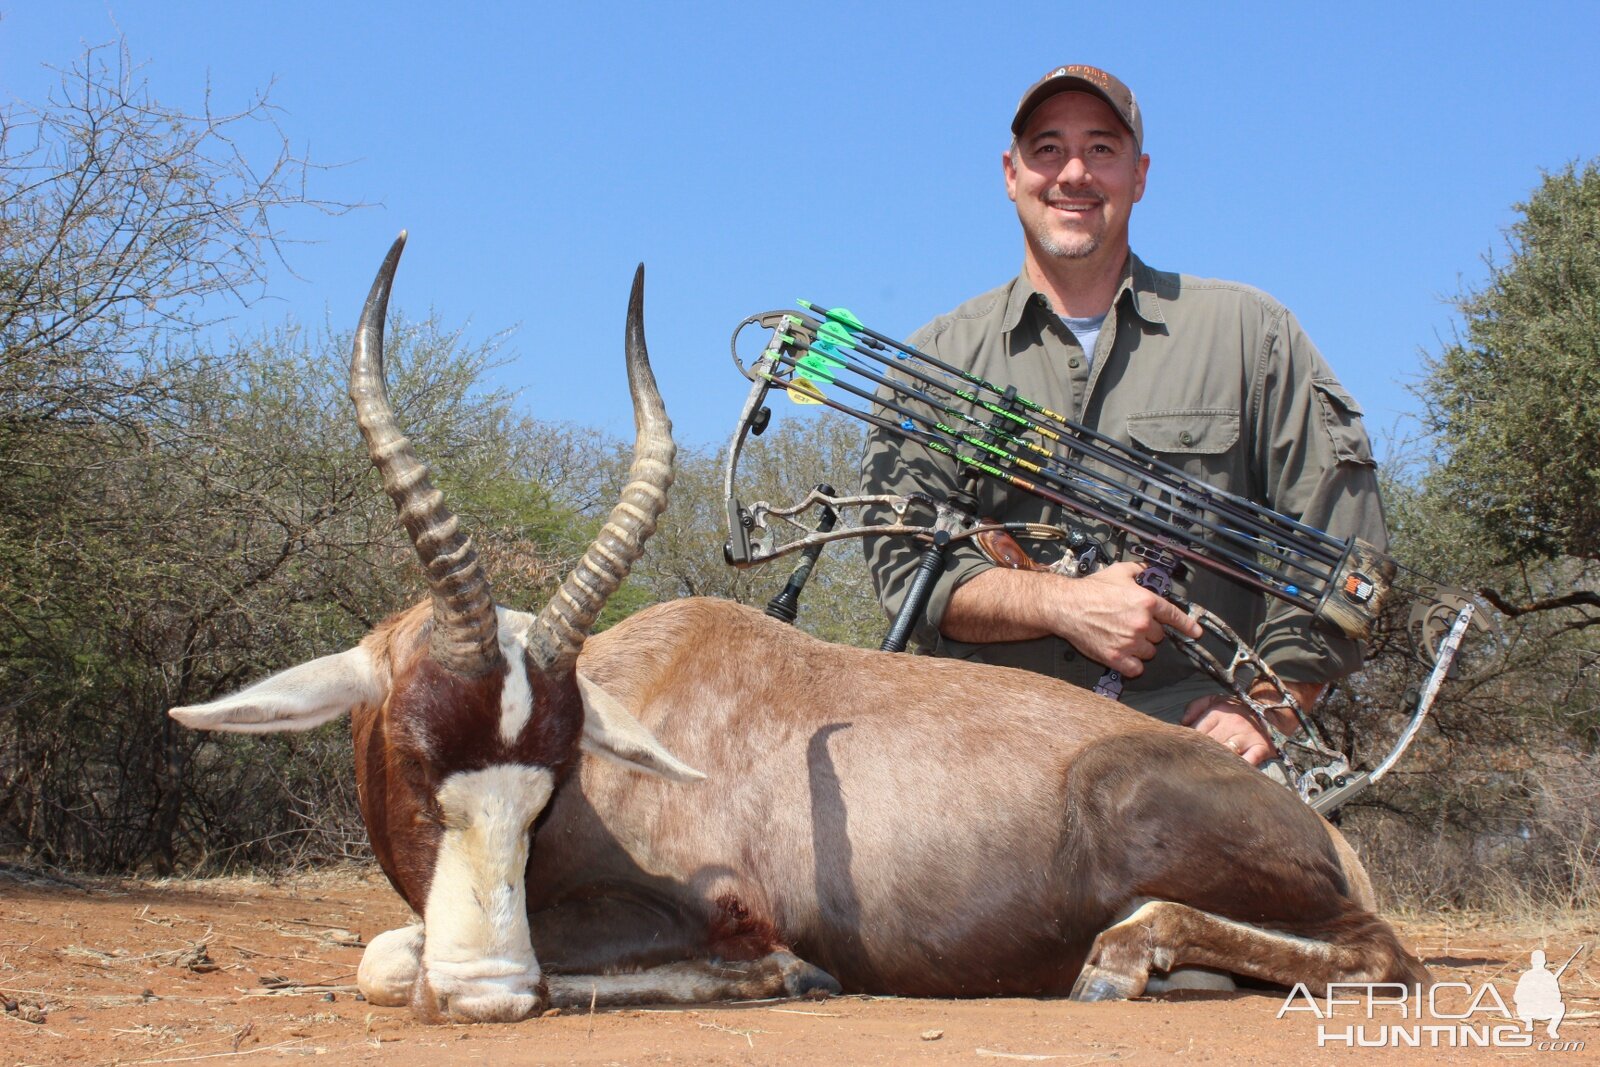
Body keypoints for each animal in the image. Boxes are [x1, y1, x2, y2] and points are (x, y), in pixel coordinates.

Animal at [168, 238, 1433, 1023]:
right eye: (418, 748)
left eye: (553, 773)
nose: (488, 990)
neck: (657, 680)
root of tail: (1314, 820)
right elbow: (393, 948)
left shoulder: (712, 909)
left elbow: (405, 956)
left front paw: (788, 979)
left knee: (1386, 952)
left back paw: (1123, 962)